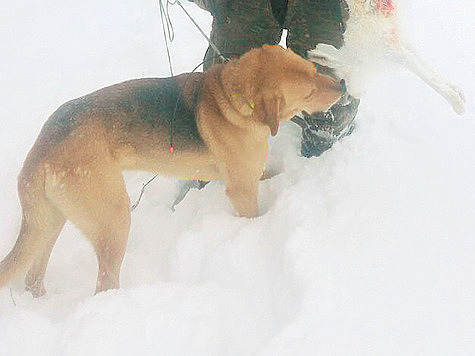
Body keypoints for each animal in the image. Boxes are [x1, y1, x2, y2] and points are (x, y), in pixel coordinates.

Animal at [0, 45, 342, 294]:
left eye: (315, 69)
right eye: (309, 92)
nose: (341, 84)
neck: (234, 99)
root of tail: (41, 150)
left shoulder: (251, 174)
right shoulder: (242, 189)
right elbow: (253, 214)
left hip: (50, 223)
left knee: (33, 277)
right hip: (113, 219)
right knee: (104, 282)